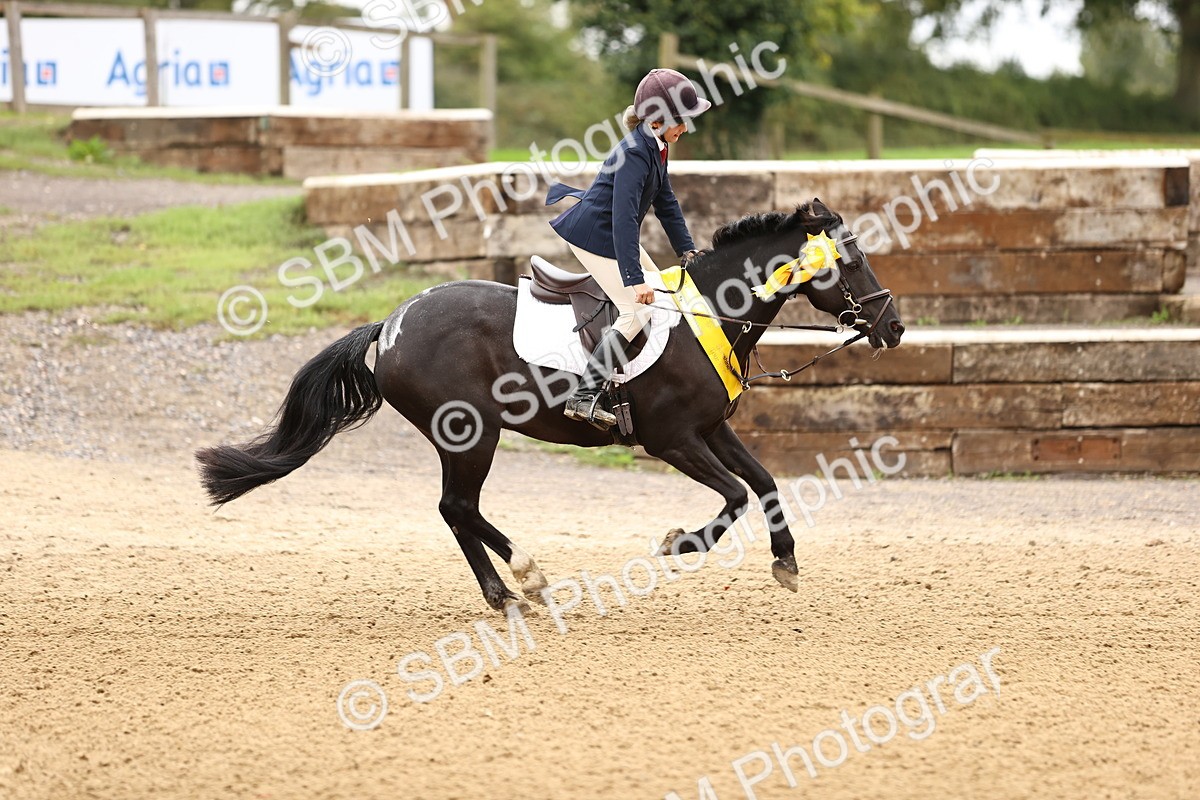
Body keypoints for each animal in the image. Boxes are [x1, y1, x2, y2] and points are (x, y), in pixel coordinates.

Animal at [195, 198, 905, 613]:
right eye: (851, 261)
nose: (894, 328)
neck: (708, 312)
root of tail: (391, 324)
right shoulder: (673, 440)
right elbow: (732, 498)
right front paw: (680, 544)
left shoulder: (709, 429)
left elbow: (764, 481)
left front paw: (785, 562)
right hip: (469, 433)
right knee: (457, 507)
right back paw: (521, 583)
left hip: (466, 436)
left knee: (458, 510)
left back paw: (515, 589)